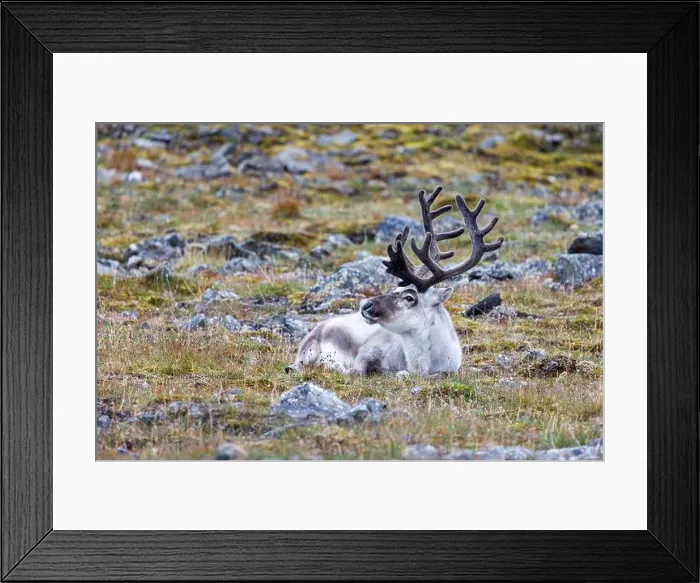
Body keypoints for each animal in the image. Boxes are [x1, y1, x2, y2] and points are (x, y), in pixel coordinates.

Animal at [286, 185, 504, 377]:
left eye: (409, 297)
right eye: (395, 289)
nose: (365, 305)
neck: (422, 365)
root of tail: (323, 324)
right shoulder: (369, 349)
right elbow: (358, 370)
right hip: (309, 347)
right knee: (296, 365)